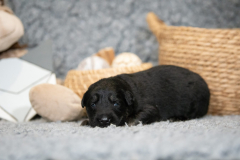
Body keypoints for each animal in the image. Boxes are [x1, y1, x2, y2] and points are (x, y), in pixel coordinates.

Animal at [80, 65, 210, 127]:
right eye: (92, 104)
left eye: (116, 103)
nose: (104, 121)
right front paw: (86, 121)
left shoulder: (151, 108)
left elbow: (138, 116)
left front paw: (127, 121)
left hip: (195, 104)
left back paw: (176, 118)